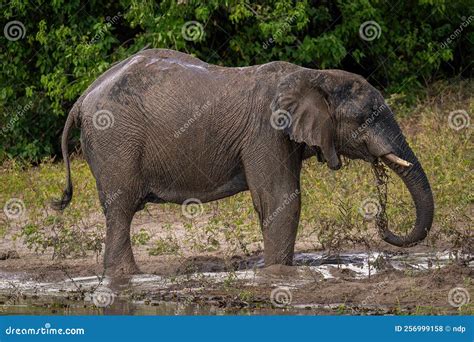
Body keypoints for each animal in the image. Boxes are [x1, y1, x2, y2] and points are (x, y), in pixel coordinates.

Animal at [51, 48, 434, 276]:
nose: (382, 225)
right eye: (366, 117)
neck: (313, 75)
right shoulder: (266, 131)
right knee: (121, 209)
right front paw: (277, 275)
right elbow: (282, 200)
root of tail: (82, 97)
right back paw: (129, 278)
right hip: (115, 141)